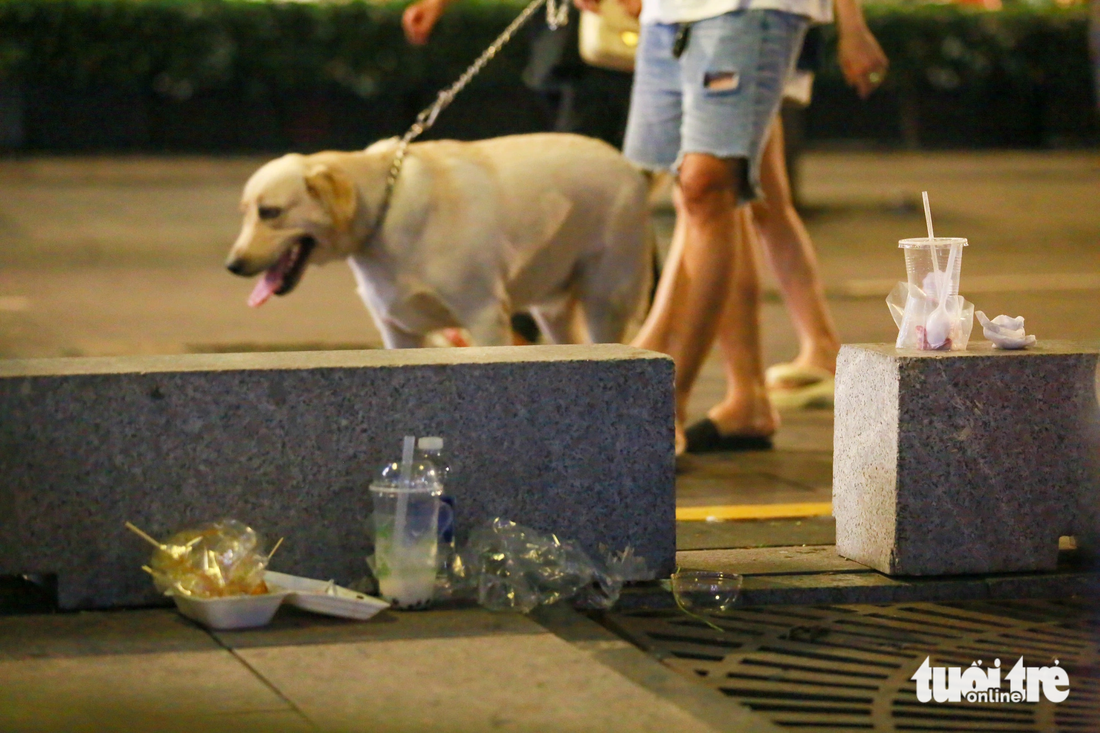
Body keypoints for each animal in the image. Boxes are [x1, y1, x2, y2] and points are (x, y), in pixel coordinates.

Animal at [226, 130, 646, 345]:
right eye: (245, 212)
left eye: (270, 212)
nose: (232, 265)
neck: (383, 211)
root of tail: (629, 165)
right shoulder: (395, 332)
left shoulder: (485, 317)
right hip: (552, 310)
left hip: (604, 303)